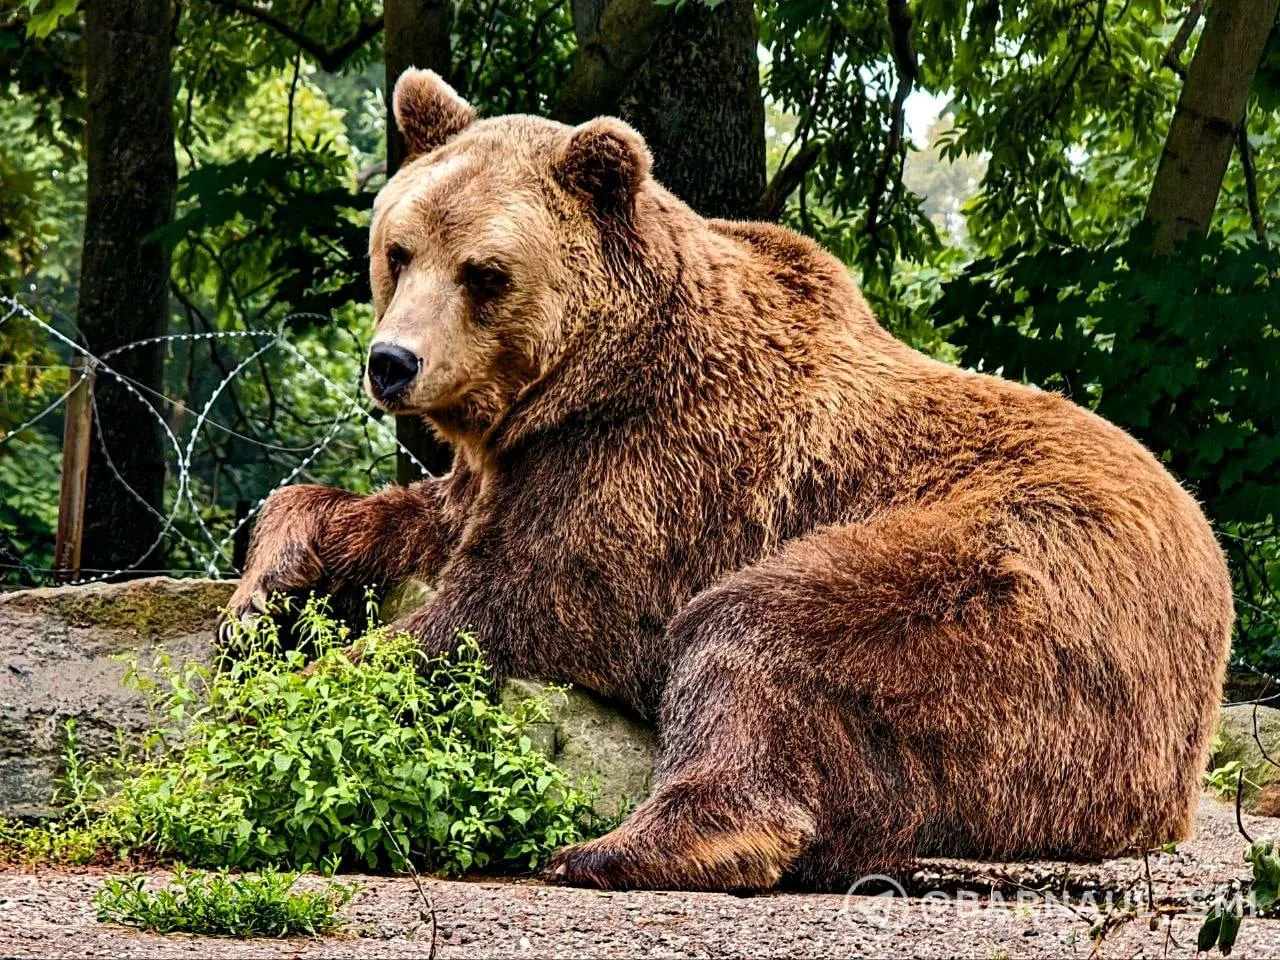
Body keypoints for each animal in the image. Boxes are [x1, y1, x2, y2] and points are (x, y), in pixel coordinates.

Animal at [225, 68, 1235, 892]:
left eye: (485, 273)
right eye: (398, 250)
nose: (393, 362)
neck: (586, 383)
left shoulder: (658, 466)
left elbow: (522, 600)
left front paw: (301, 694)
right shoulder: (509, 467)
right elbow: (406, 517)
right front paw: (262, 590)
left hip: (1019, 586)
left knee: (759, 631)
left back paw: (627, 846)